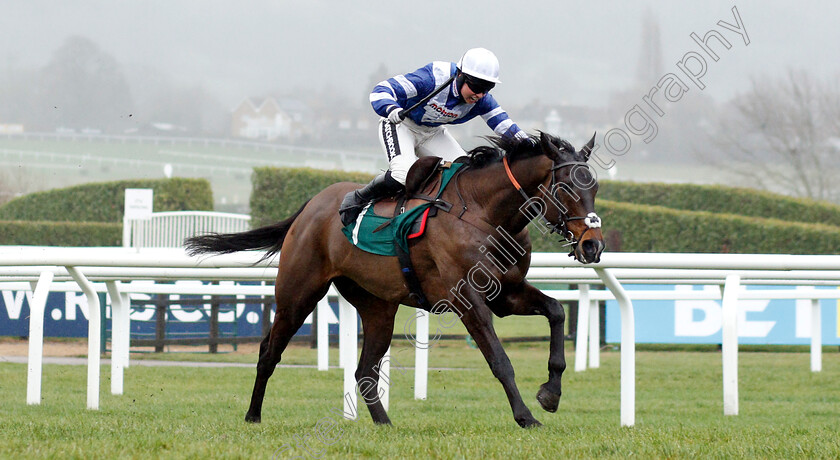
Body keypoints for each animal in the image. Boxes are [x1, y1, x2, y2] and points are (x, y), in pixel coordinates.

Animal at [185, 132, 604, 428]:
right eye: (567, 187)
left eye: (595, 186)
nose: (593, 244)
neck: (484, 212)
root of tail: (310, 206)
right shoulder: (468, 299)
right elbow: (500, 360)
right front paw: (526, 417)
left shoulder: (506, 294)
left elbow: (556, 312)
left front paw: (550, 394)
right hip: (297, 293)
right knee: (269, 352)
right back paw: (253, 416)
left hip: (378, 306)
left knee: (365, 370)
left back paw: (385, 423)